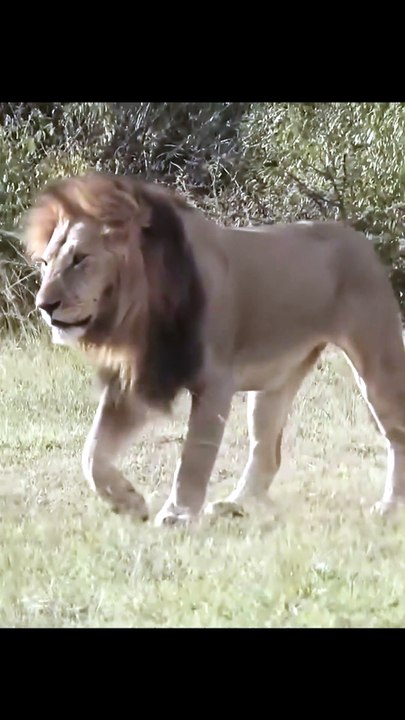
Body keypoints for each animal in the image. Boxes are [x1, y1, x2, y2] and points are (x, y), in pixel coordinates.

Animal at [23, 171, 405, 526]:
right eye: (45, 263)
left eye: (80, 259)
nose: (44, 306)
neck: (140, 305)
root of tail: (357, 238)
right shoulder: (140, 378)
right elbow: (92, 453)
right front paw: (129, 501)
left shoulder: (215, 381)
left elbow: (195, 453)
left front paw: (177, 515)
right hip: (274, 383)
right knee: (267, 451)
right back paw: (236, 504)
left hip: (377, 365)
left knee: (397, 433)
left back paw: (389, 507)